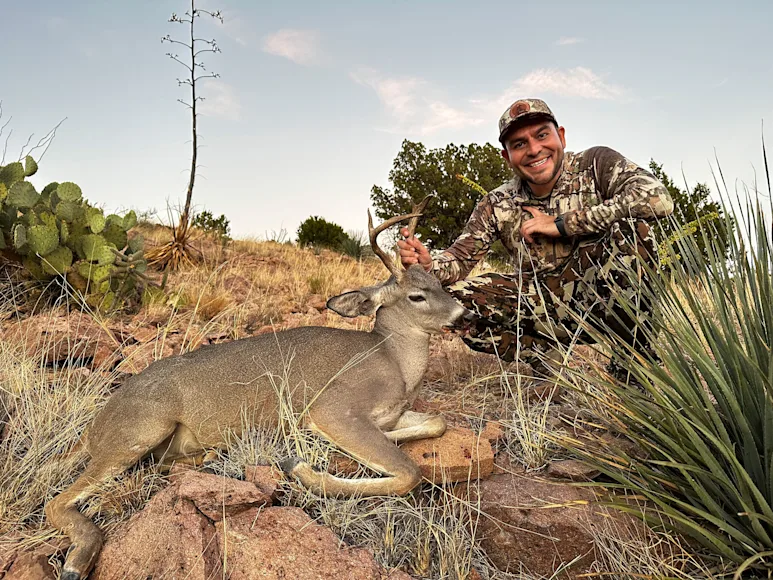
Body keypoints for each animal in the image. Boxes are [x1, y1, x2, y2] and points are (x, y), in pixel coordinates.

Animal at [45, 199, 473, 580]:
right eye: (417, 295)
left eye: (440, 283)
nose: (463, 314)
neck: (393, 361)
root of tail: (94, 427)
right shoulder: (332, 408)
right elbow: (408, 471)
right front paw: (301, 467)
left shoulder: (393, 413)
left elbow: (436, 422)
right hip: (141, 429)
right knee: (57, 500)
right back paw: (76, 560)